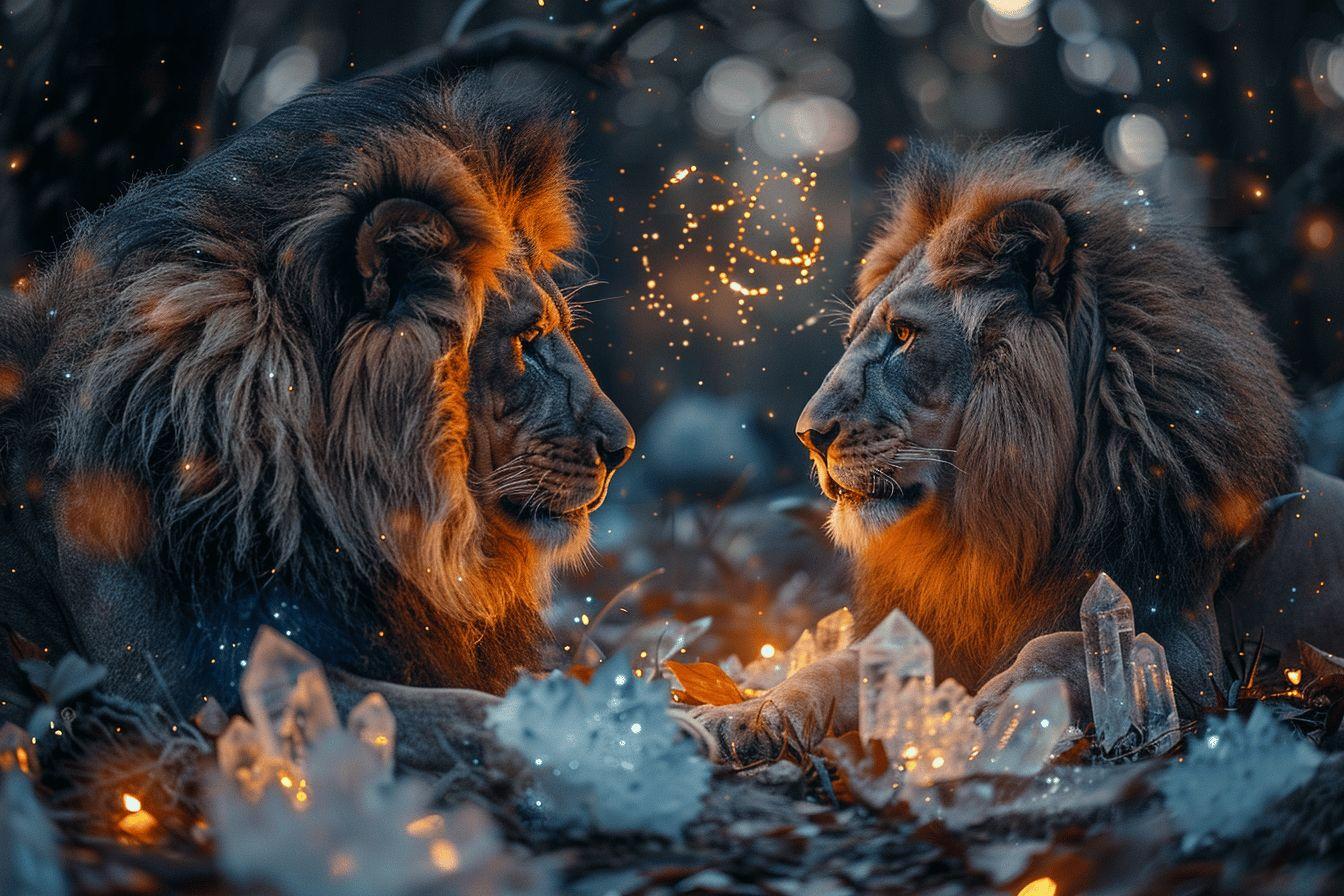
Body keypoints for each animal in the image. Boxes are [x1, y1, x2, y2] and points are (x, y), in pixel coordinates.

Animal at [693, 138, 1344, 760]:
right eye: (853, 338)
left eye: (903, 336)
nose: (808, 434)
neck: (996, 529)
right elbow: (832, 667)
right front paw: (742, 716)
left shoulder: (1199, 656)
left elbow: (1067, 644)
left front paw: (997, 710)